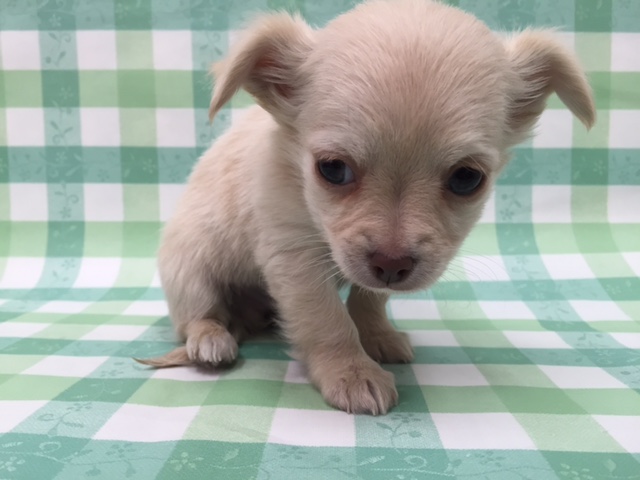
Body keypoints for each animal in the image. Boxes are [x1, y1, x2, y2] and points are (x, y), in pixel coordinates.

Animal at [139, 0, 596, 414]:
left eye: (467, 178)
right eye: (333, 169)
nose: (392, 264)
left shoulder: (370, 272)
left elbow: (369, 300)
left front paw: (377, 335)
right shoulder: (295, 257)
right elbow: (327, 320)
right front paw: (351, 373)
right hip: (189, 271)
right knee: (197, 314)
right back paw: (211, 339)